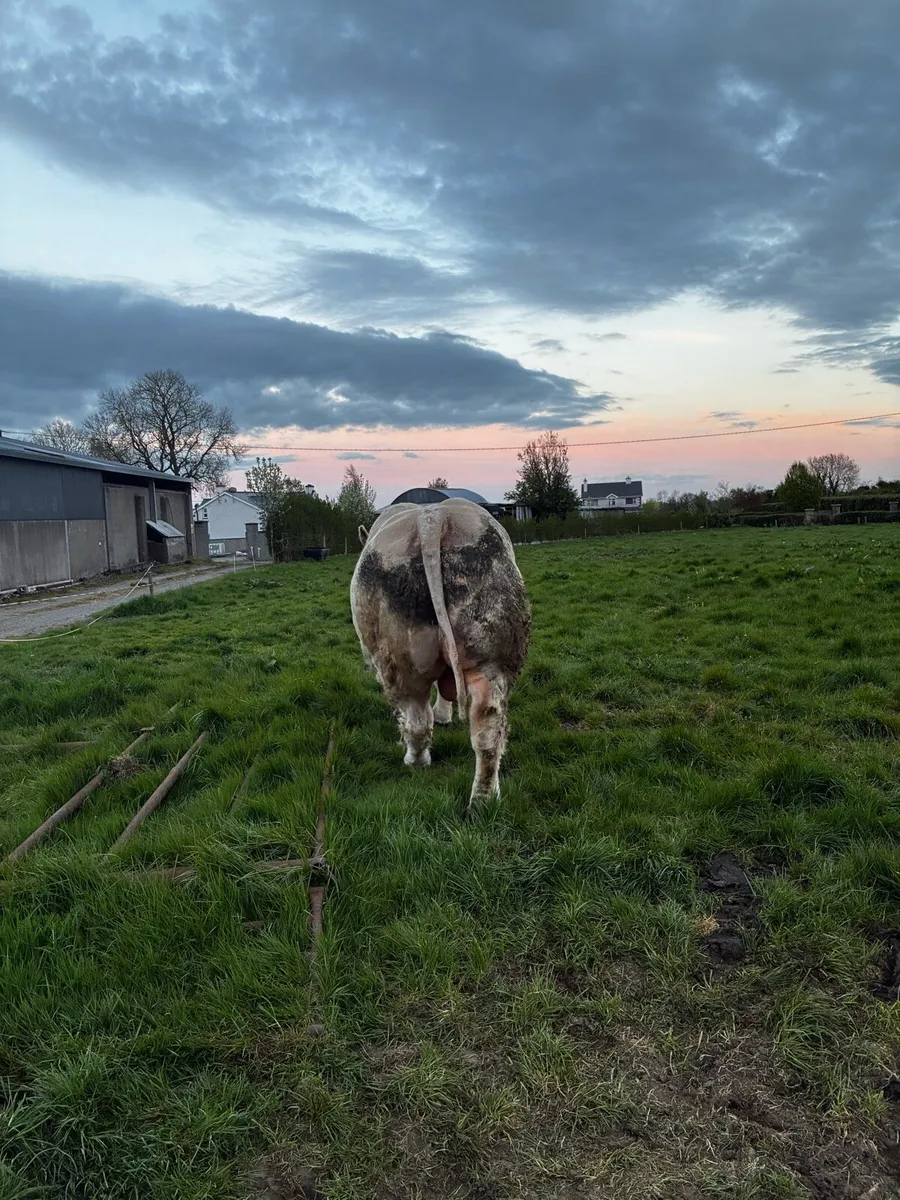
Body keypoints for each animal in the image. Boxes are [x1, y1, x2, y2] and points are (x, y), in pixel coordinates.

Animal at [351, 498, 531, 808]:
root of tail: (433, 518)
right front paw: (446, 715)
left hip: (400, 662)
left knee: (417, 719)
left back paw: (416, 761)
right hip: (492, 652)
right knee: (488, 727)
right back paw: (483, 799)